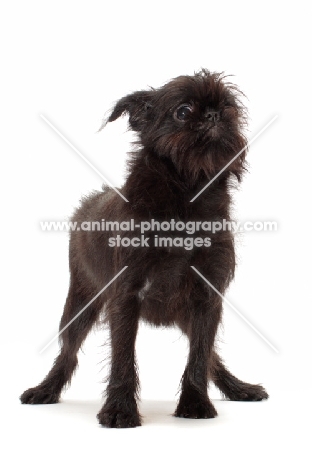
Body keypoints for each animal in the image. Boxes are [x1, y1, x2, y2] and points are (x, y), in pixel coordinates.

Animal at [20, 68, 268, 428]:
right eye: (183, 111)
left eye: (229, 108)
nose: (214, 114)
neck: (185, 198)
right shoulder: (126, 296)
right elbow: (122, 357)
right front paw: (120, 410)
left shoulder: (207, 298)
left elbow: (200, 356)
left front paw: (195, 403)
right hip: (80, 301)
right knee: (67, 352)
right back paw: (45, 390)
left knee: (211, 356)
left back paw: (238, 388)